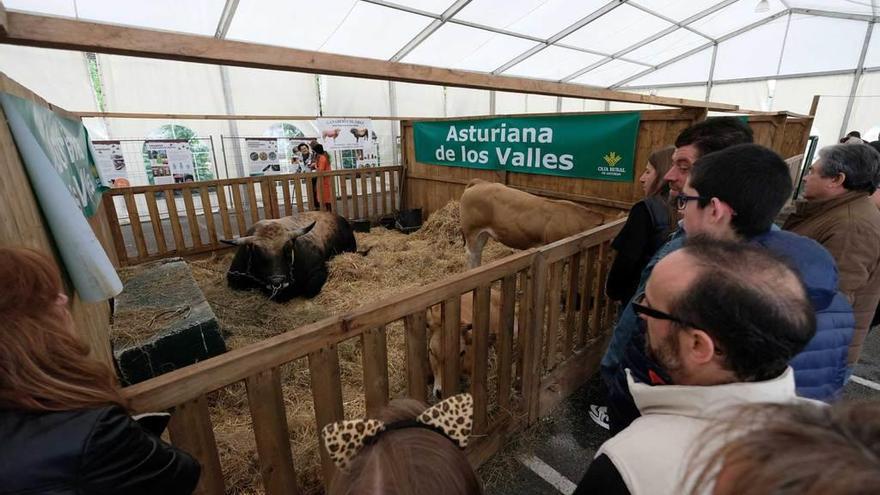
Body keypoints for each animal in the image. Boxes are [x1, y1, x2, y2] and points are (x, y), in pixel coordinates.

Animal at [222, 212, 356, 302]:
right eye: (258, 253)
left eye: (287, 249)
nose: (277, 281)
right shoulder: (234, 276)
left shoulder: (318, 270)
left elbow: (309, 289)